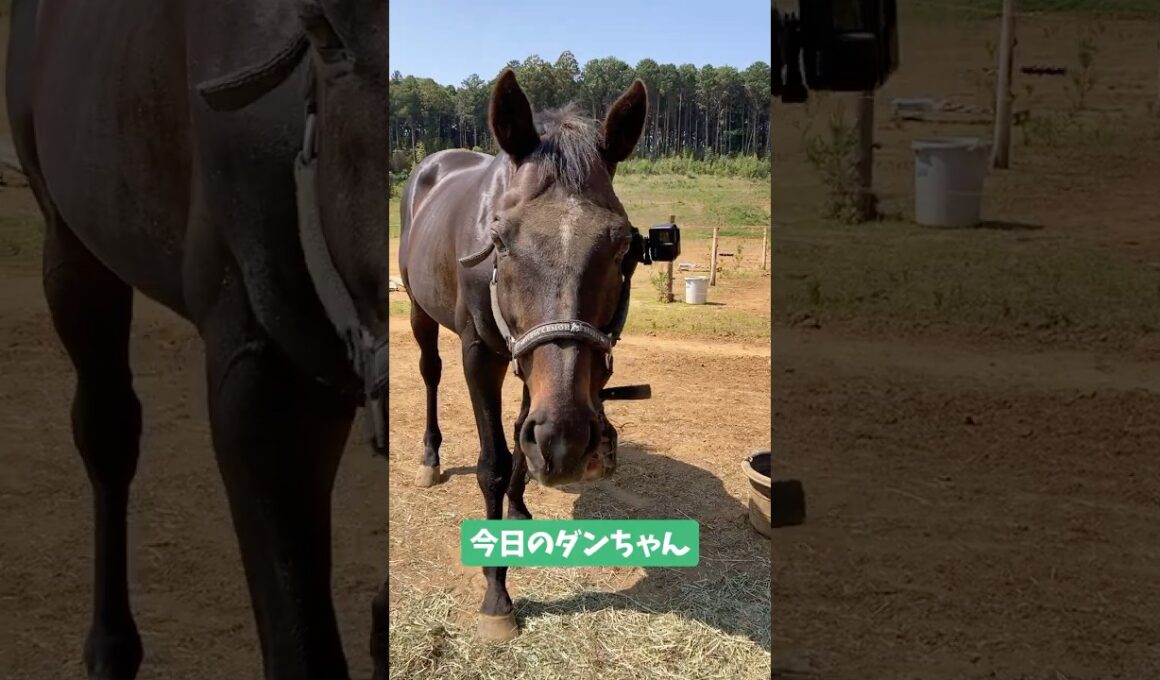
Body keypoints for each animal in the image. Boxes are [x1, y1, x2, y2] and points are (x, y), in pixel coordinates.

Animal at [6, 1, 388, 678]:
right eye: (324, 30)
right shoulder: (263, 383)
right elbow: (301, 651)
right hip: (71, 247)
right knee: (106, 431)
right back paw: (110, 649)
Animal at [397, 69, 649, 641]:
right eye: (501, 240)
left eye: (623, 245)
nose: (569, 442)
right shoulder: (479, 356)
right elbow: (492, 462)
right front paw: (497, 597)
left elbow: (519, 435)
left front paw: (518, 504)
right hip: (420, 313)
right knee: (429, 373)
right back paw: (429, 459)